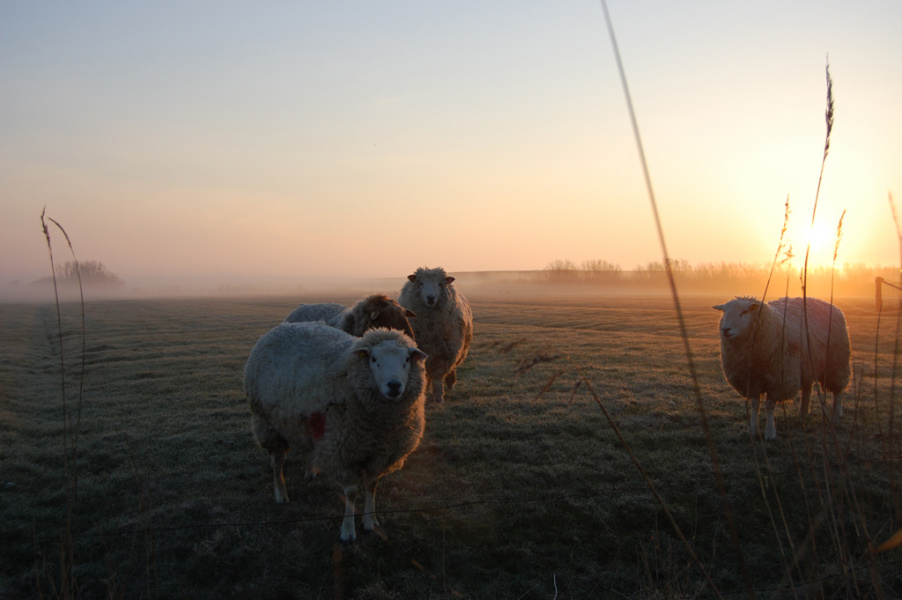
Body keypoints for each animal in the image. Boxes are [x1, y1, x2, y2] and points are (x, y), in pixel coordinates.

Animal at [245, 324, 430, 544]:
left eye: (407, 360)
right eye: (374, 359)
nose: (394, 385)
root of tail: (278, 329)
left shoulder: (380, 452)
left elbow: (372, 485)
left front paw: (370, 521)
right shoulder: (342, 452)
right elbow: (350, 493)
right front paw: (348, 531)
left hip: (310, 424)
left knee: (309, 449)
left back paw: (310, 472)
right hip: (267, 425)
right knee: (276, 463)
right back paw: (281, 494)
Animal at [400, 266, 476, 404]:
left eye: (440, 284)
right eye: (421, 283)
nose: (431, 298)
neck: (430, 330)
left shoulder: (445, 353)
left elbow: (437, 377)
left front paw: (439, 398)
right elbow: (425, 375)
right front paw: (425, 393)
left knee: (451, 370)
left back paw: (450, 385)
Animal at [712, 296, 856, 440]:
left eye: (744, 312)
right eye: (724, 312)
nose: (725, 329)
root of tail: (827, 303)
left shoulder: (777, 380)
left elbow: (770, 405)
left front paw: (770, 432)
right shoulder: (751, 381)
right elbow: (755, 404)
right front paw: (752, 429)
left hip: (836, 362)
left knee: (837, 391)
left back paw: (835, 416)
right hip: (807, 364)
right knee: (807, 388)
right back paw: (803, 413)